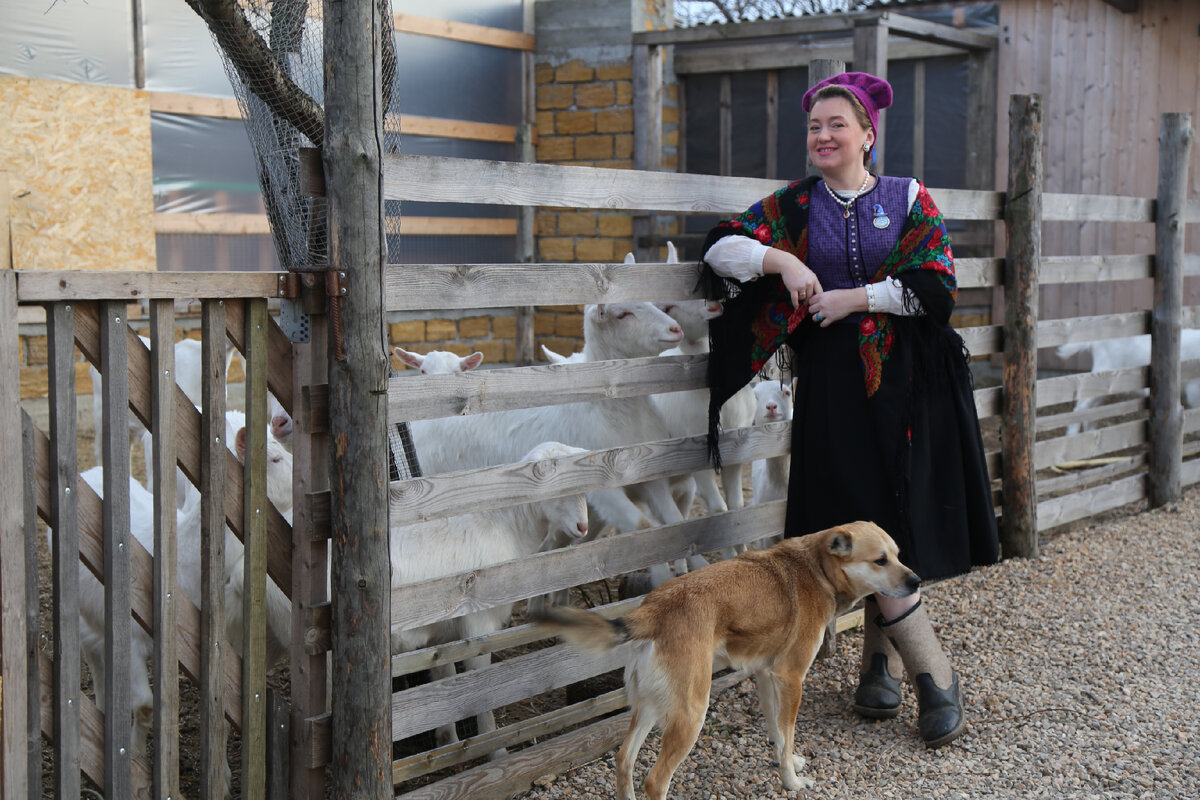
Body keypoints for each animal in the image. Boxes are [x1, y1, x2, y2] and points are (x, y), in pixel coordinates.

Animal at [388, 443, 590, 753]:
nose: (583, 527)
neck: (508, 526)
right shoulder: (479, 626)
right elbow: (479, 689)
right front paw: (494, 749)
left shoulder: (441, 638)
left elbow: (443, 682)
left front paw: (448, 744)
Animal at [535, 522, 916, 796]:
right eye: (880, 560)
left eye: (898, 554)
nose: (916, 581)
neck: (817, 568)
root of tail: (653, 609)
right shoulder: (791, 678)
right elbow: (789, 732)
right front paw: (791, 782)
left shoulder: (767, 676)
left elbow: (778, 733)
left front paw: (788, 761)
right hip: (691, 711)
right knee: (655, 781)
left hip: (651, 704)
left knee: (624, 760)